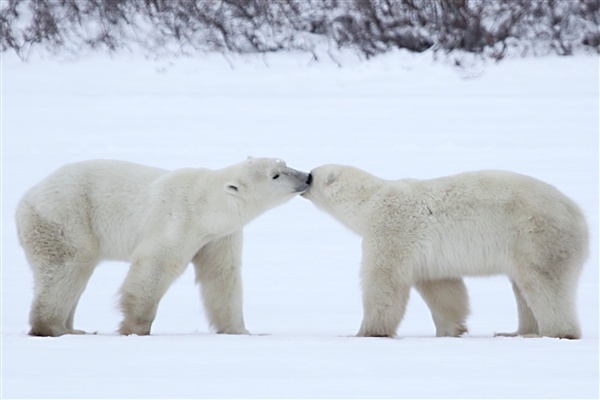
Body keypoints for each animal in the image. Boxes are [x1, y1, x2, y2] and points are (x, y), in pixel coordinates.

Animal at [17, 158, 312, 336]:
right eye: (276, 175)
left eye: (284, 162)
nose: (307, 176)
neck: (206, 205)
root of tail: (26, 198)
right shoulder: (177, 220)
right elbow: (154, 267)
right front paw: (135, 328)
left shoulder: (218, 237)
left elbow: (221, 277)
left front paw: (241, 330)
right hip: (67, 219)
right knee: (68, 267)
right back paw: (55, 328)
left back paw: (72, 328)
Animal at [302, 164, 588, 340]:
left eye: (312, 175)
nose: (303, 177)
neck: (369, 201)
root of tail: (578, 216)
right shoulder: (428, 254)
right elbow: (442, 288)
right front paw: (451, 329)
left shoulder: (392, 230)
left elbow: (383, 282)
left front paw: (366, 332)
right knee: (523, 289)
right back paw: (515, 332)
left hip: (536, 236)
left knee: (543, 283)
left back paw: (552, 332)